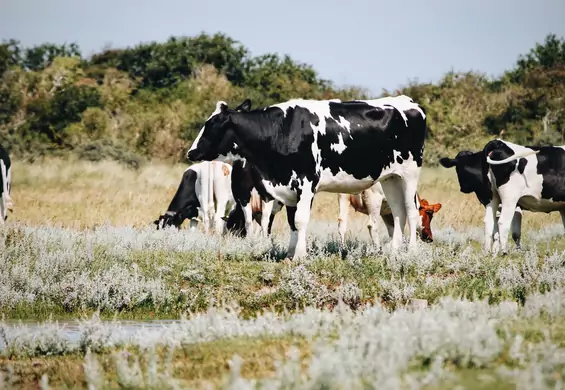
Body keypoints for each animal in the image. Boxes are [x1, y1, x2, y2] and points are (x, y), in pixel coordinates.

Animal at [187, 95, 426, 258]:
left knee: (411, 211)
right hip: (391, 177)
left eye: (211, 125)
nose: (191, 152)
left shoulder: (306, 183)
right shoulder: (288, 187)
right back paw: (393, 251)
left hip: (410, 173)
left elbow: (300, 220)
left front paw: (300, 256)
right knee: (398, 212)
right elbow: (292, 222)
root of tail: (408, 102)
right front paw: (290, 254)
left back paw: (412, 251)